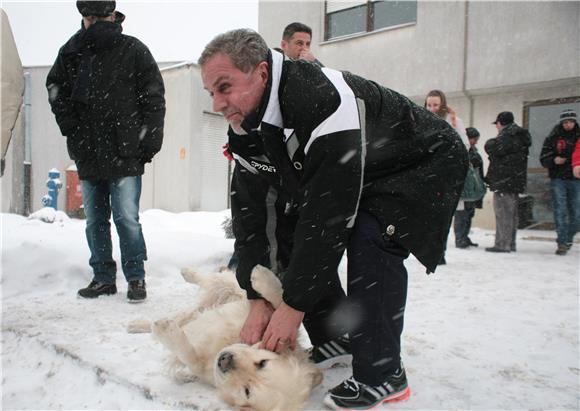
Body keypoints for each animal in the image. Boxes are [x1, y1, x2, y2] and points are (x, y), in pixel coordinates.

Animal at [127, 266, 324, 410]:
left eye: (247, 391)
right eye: (263, 363)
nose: (225, 359)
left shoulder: (199, 365)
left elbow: (187, 352)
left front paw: (166, 330)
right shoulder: (272, 321)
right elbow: (279, 301)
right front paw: (262, 276)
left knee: (184, 315)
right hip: (227, 291)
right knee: (215, 281)